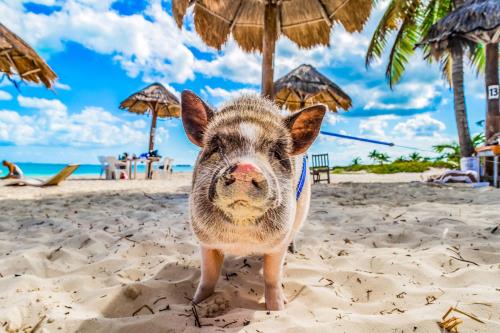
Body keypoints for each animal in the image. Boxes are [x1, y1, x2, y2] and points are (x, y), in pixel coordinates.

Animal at [182, 89, 326, 310]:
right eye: (216, 146)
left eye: (276, 152)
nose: (245, 167)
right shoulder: (205, 240)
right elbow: (208, 275)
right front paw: (196, 302)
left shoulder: (279, 240)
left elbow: (272, 275)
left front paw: (278, 309)